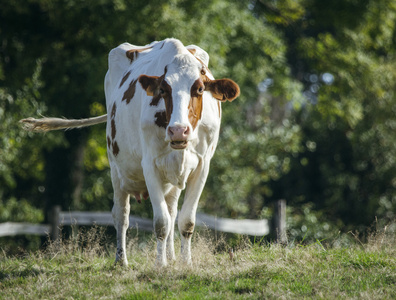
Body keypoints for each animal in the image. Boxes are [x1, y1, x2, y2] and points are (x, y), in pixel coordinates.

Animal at [20, 38, 240, 268]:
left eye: (199, 89)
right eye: (163, 90)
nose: (178, 130)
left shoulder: (202, 165)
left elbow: (185, 221)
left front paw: (184, 263)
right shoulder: (150, 165)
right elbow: (160, 222)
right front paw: (160, 265)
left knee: (171, 211)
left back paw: (170, 256)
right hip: (115, 168)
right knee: (121, 215)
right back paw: (121, 260)